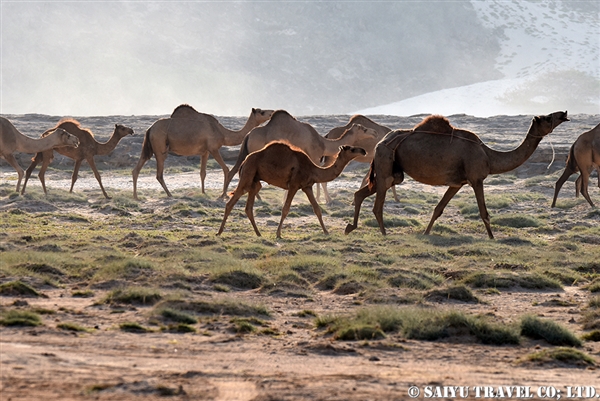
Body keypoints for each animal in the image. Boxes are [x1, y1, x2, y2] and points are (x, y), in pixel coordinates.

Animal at [132, 104, 274, 200]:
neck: (223, 133)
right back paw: (169, 194)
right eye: (262, 112)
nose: (272, 112)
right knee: (159, 174)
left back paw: (136, 196)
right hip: (160, 147)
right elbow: (226, 169)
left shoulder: (205, 152)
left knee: (137, 168)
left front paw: (203, 192)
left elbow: (203, 173)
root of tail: (150, 128)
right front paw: (223, 195)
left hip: (149, 148)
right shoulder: (213, 148)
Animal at [216, 142, 366, 238]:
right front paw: (278, 234)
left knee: (249, 207)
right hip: (248, 174)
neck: (313, 169)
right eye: (351, 149)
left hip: (254, 181)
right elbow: (286, 208)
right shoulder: (294, 185)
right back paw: (219, 232)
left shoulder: (307, 186)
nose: (363, 151)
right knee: (231, 203)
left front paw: (326, 232)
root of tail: (244, 162)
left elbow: (317, 209)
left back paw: (258, 233)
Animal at [223, 109, 378, 197]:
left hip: (246, 151)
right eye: (364, 129)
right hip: (255, 152)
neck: (324, 143)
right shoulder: (314, 156)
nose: (374, 132)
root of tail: (248, 135)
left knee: (235, 170)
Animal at [344, 110, 568, 238]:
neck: (489, 156)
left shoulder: (457, 183)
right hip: (385, 161)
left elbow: (438, 209)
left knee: (362, 193)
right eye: (548, 117)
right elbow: (484, 213)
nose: (563, 113)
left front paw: (426, 232)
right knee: (378, 204)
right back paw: (384, 234)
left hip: (394, 170)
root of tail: (381, 142)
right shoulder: (477, 178)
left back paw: (350, 227)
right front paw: (492, 238)